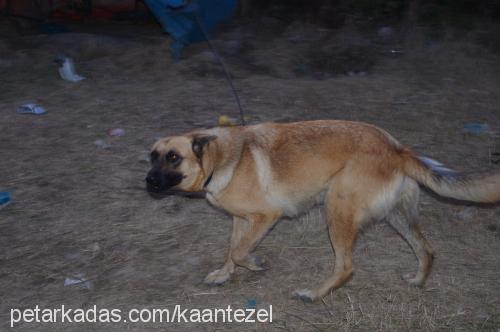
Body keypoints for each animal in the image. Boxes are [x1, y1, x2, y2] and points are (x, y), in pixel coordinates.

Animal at [146, 119, 500, 300]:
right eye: (152, 156)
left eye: (174, 157)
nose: (147, 181)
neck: (220, 158)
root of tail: (397, 149)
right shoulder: (239, 220)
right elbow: (231, 251)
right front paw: (223, 274)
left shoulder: (266, 216)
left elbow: (240, 251)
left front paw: (256, 264)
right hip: (397, 216)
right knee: (426, 249)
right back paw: (417, 281)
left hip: (337, 210)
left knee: (346, 267)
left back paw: (314, 294)